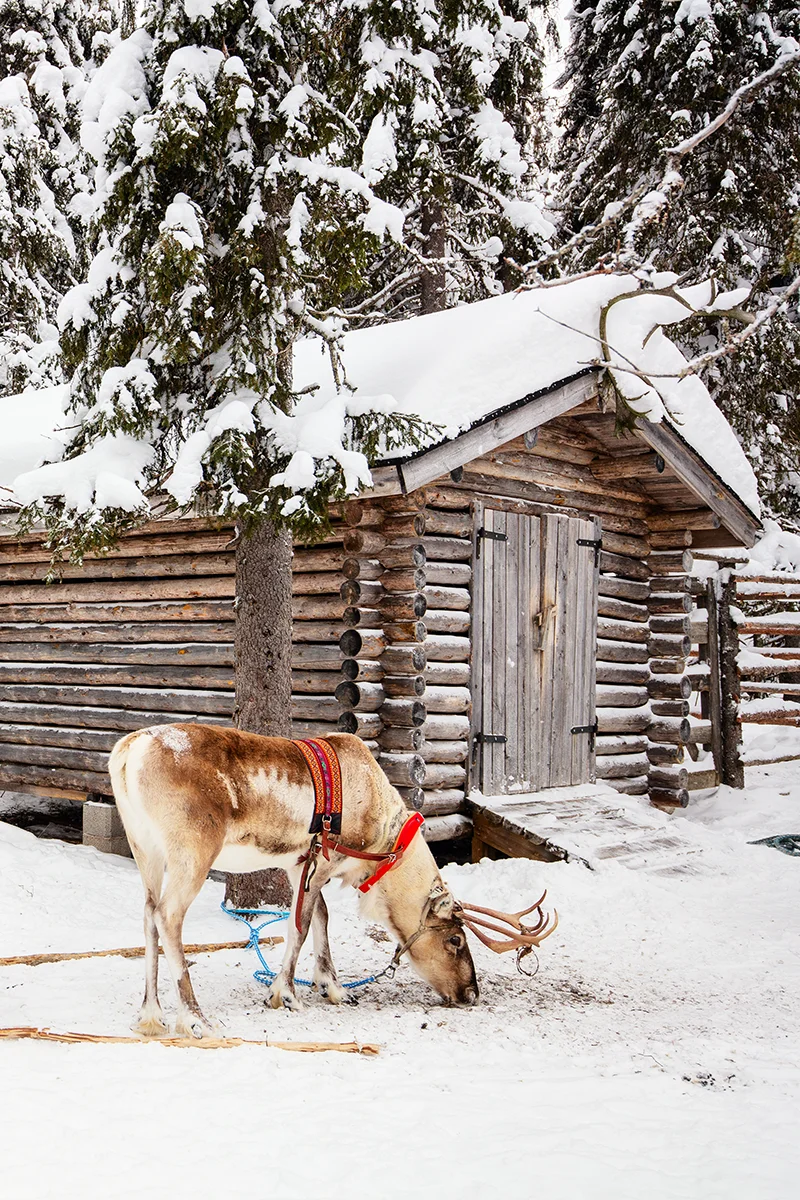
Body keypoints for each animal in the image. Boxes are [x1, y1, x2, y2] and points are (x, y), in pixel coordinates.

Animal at [109, 724, 556, 1038]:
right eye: (455, 940)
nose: (471, 994)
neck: (383, 839)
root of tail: (128, 752)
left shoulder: (298, 863)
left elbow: (321, 917)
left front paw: (333, 986)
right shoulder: (322, 861)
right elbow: (302, 925)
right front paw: (285, 994)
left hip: (145, 848)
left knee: (148, 914)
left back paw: (150, 1014)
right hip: (192, 851)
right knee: (168, 917)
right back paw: (194, 1017)